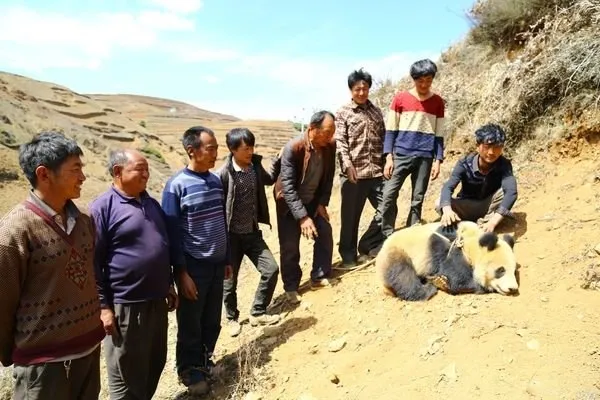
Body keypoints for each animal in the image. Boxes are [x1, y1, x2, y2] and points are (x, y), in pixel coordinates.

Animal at [376, 220, 520, 302]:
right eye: (501, 270)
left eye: (514, 271)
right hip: (398, 253)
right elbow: (456, 277)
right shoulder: (448, 247)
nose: (512, 288)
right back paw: (427, 290)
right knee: (403, 276)